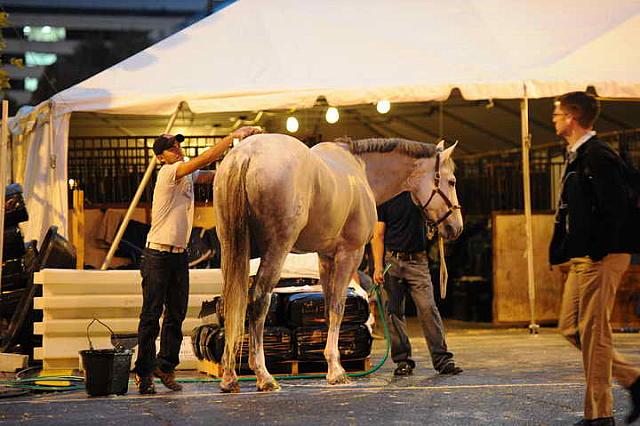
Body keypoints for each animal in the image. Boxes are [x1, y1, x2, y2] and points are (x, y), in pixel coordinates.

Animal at [212, 134, 462, 392]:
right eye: (452, 181)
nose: (456, 227)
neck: (360, 169)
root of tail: (247, 153)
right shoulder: (349, 254)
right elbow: (337, 307)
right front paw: (336, 371)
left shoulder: (325, 257)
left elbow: (327, 305)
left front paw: (329, 363)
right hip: (277, 249)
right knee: (259, 300)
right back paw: (264, 376)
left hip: (231, 248)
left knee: (234, 302)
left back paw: (229, 377)